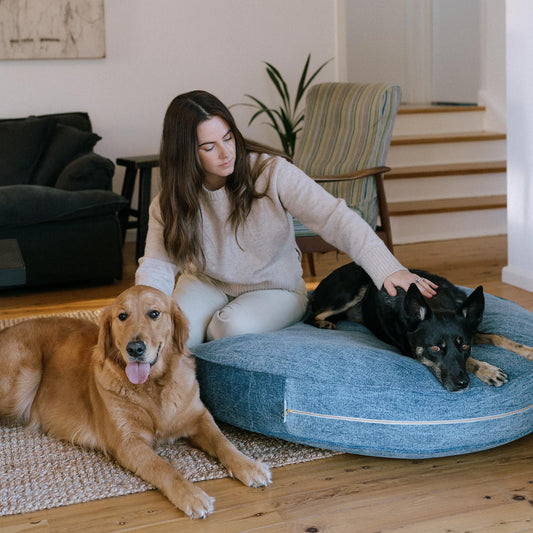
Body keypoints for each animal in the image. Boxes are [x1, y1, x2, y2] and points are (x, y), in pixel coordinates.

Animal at [306, 262, 532, 390]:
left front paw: (529, 351)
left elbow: (498, 337)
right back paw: (323, 323)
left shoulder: (472, 332)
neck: (435, 302)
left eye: (465, 346)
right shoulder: (411, 350)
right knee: (310, 316)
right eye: (435, 348)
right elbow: (470, 361)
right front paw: (488, 370)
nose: (461, 385)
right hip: (349, 291)